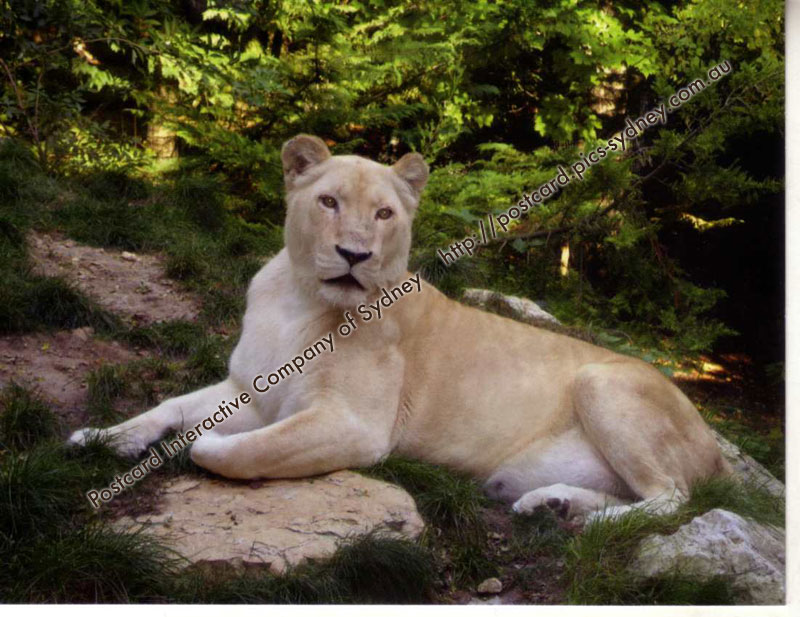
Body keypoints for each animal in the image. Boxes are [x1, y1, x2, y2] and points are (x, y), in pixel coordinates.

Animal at [69, 134, 731, 522]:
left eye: (385, 214)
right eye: (329, 202)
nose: (354, 254)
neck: (300, 300)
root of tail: (716, 446)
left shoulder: (355, 427)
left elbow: (221, 446)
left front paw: (198, 447)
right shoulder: (247, 389)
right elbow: (167, 408)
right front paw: (102, 438)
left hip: (601, 381)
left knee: (672, 499)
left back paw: (575, 518)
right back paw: (551, 504)